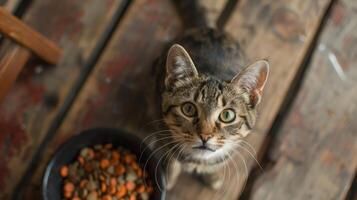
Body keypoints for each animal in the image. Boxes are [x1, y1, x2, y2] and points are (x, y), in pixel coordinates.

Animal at [151, 1, 270, 191]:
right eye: (188, 109)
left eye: (227, 115)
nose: (205, 136)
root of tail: (209, 29)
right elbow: (171, 156)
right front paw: (169, 177)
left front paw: (212, 175)